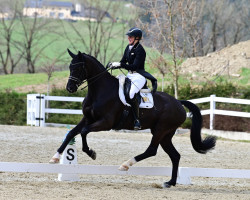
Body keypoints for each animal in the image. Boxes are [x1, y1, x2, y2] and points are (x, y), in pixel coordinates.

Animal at [49, 49, 217, 188]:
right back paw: (170, 182)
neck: (99, 91)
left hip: (161, 130)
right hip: (165, 134)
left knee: (151, 150)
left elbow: (84, 132)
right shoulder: (88, 118)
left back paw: (126, 164)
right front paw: (55, 158)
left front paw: (91, 153)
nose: (70, 88)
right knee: (175, 156)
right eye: (70, 67)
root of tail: (179, 103)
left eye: (78, 68)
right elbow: (71, 133)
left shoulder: (105, 123)